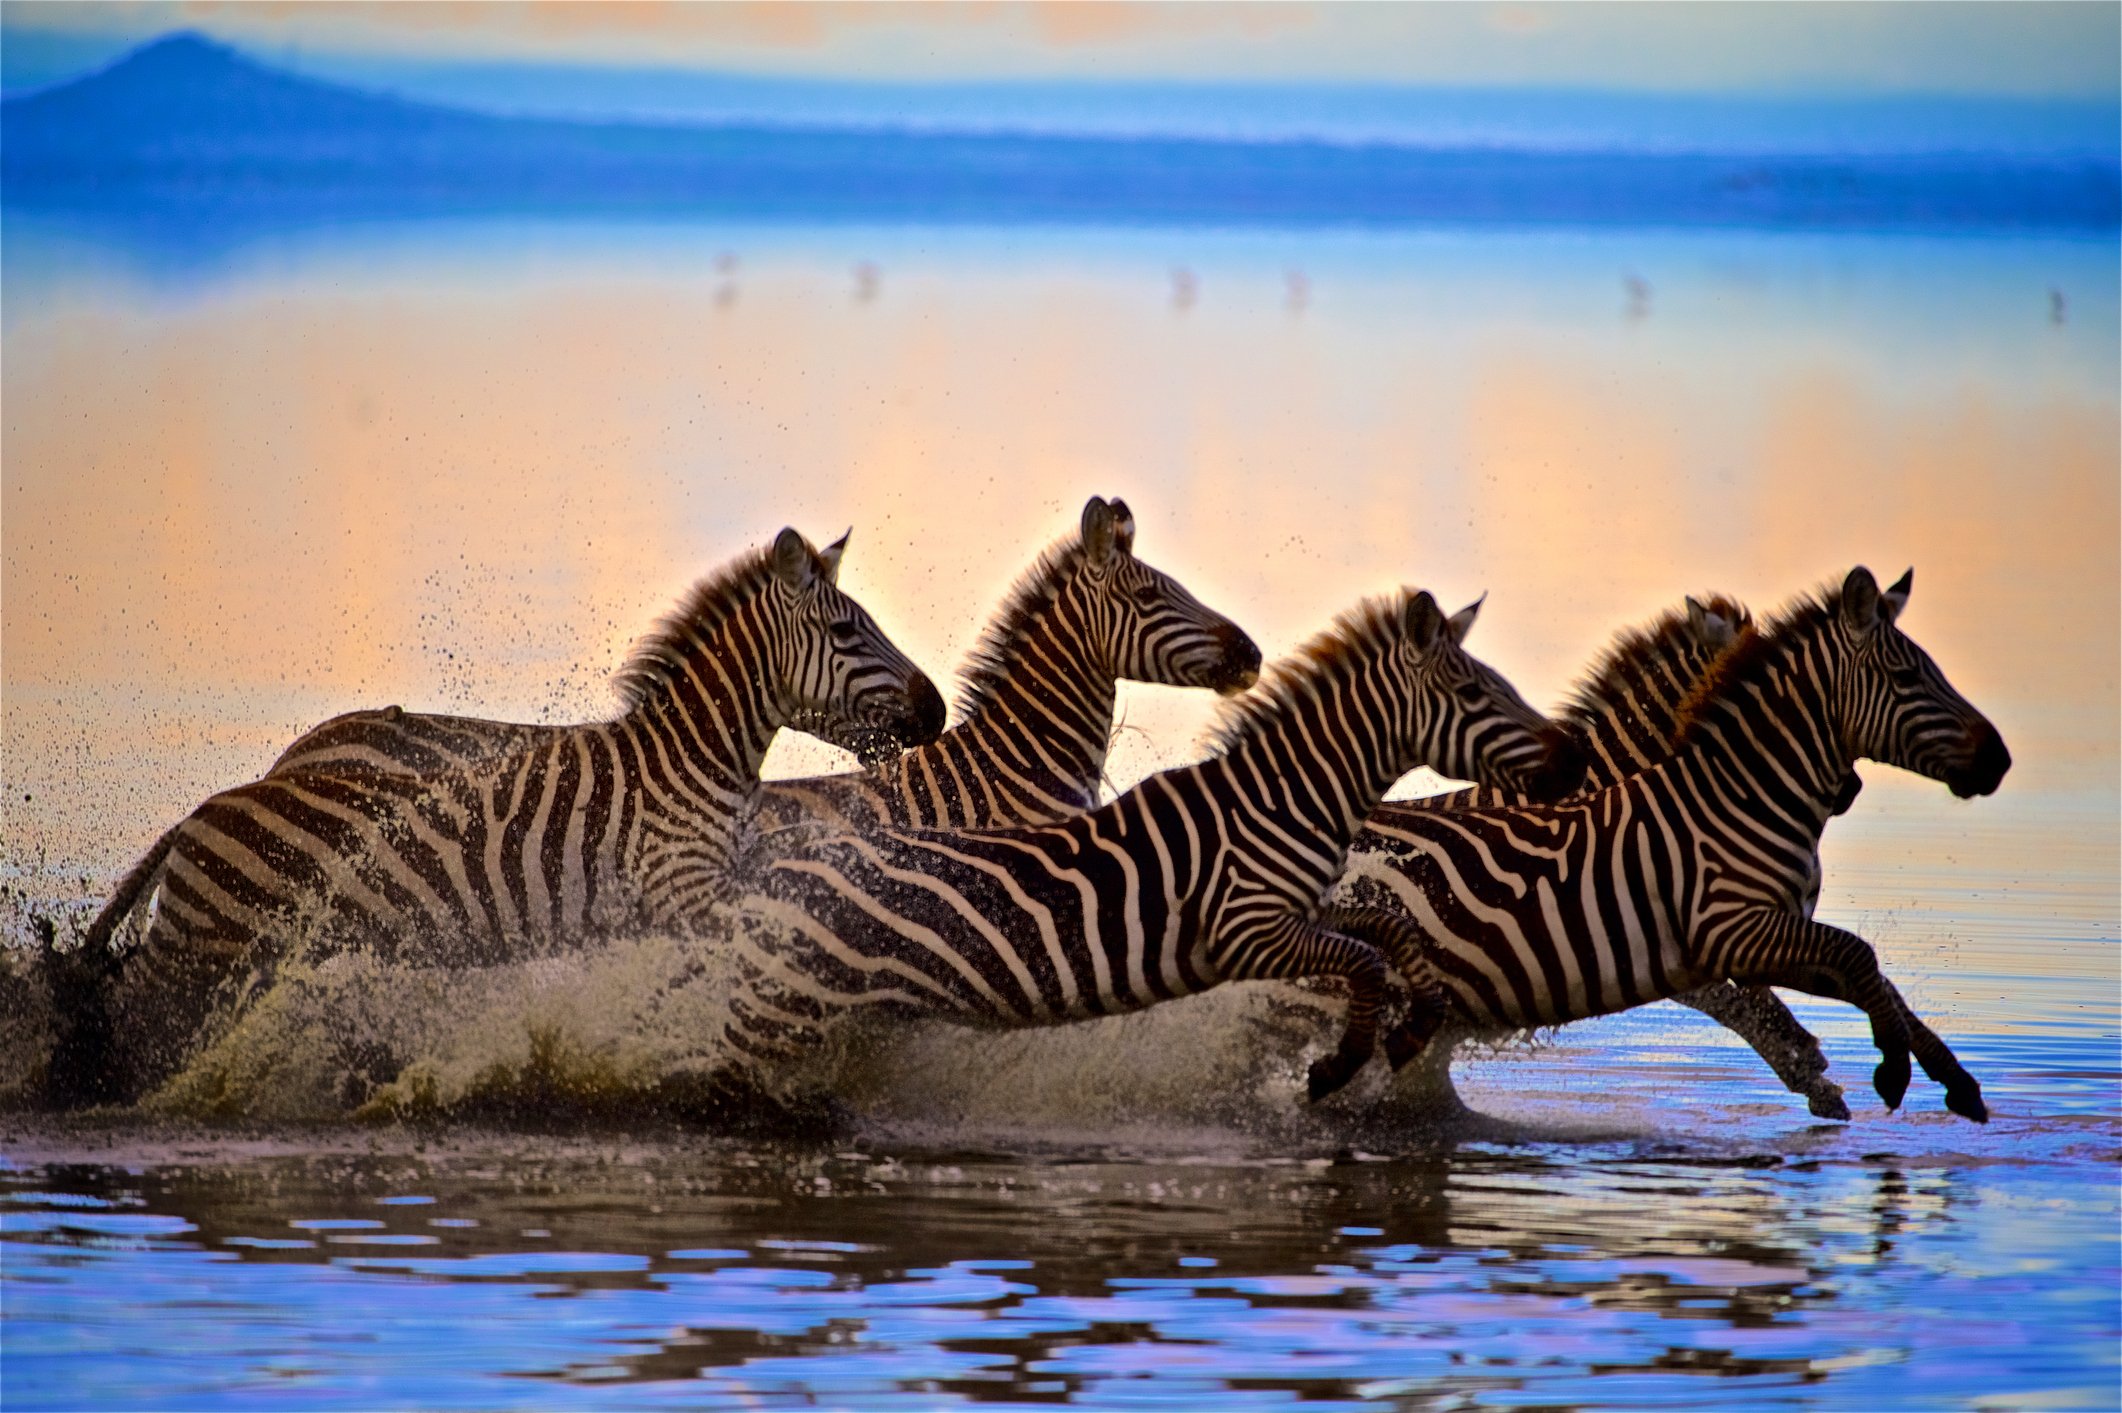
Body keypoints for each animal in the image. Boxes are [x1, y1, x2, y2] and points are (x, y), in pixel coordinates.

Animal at [48, 527, 947, 1105]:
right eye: (845, 631)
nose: (936, 711)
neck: (688, 760)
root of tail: (200, 812)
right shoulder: (686, 895)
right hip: (200, 950)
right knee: (124, 1008)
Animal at [724, 588, 1588, 1101]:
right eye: (1473, 692)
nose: (1576, 759)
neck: (1281, 799)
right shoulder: (1244, 932)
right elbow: (1366, 958)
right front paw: (1336, 1067)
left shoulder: (1301, 911)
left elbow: (1389, 928)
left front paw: (1411, 1027)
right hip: (782, 1016)